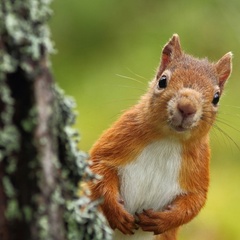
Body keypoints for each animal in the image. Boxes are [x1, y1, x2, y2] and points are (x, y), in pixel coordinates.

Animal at [88, 34, 232, 240]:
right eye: (162, 81)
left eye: (216, 97)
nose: (187, 107)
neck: (168, 140)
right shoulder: (120, 136)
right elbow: (99, 166)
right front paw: (116, 212)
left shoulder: (199, 165)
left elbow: (196, 200)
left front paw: (164, 220)